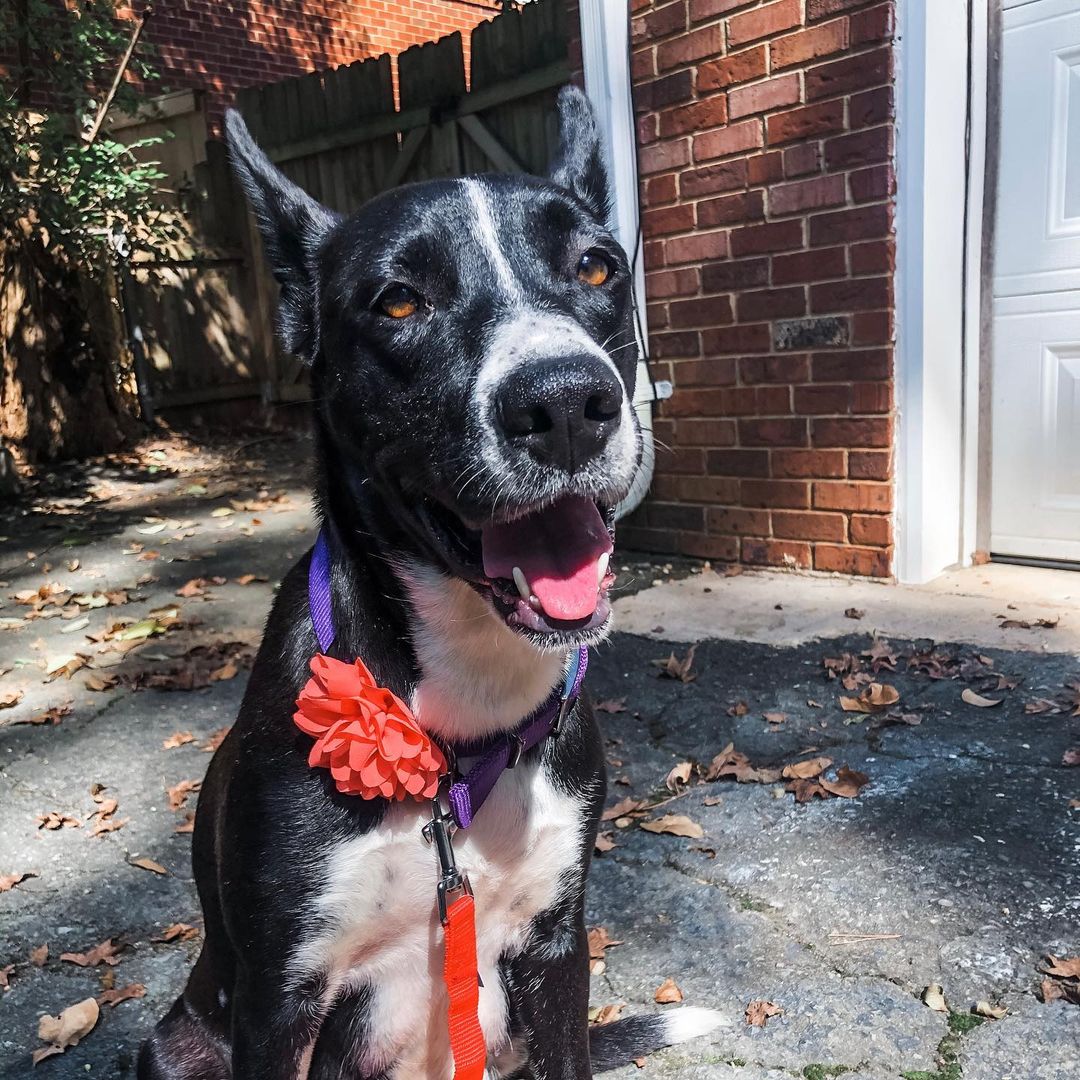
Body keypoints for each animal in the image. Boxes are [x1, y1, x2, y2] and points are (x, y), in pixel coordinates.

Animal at [139, 86, 721, 1080]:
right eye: (400, 301)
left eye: (597, 266)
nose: (566, 404)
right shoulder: (279, 996)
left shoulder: (557, 953)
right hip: (177, 1044)